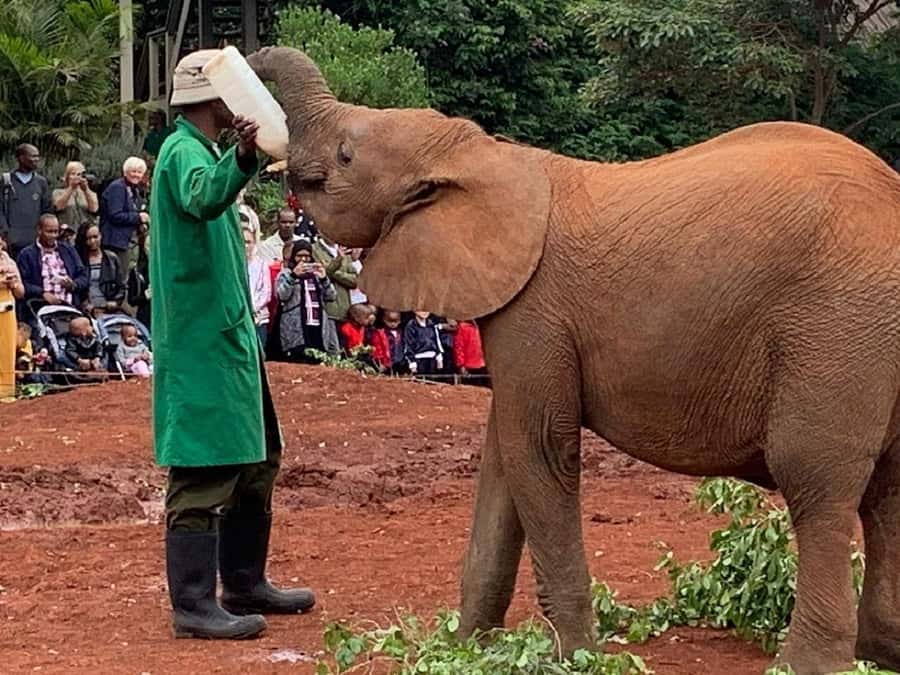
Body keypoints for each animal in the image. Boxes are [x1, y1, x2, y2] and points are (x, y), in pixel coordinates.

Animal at [247, 46, 900, 675]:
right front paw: (467, 647)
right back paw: (880, 655)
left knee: (816, 480)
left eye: (346, 154)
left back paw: (812, 665)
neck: (484, 155)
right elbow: (502, 461)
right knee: (886, 491)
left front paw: (577, 658)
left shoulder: (535, 310)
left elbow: (537, 448)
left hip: (838, 325)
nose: (239, 75)